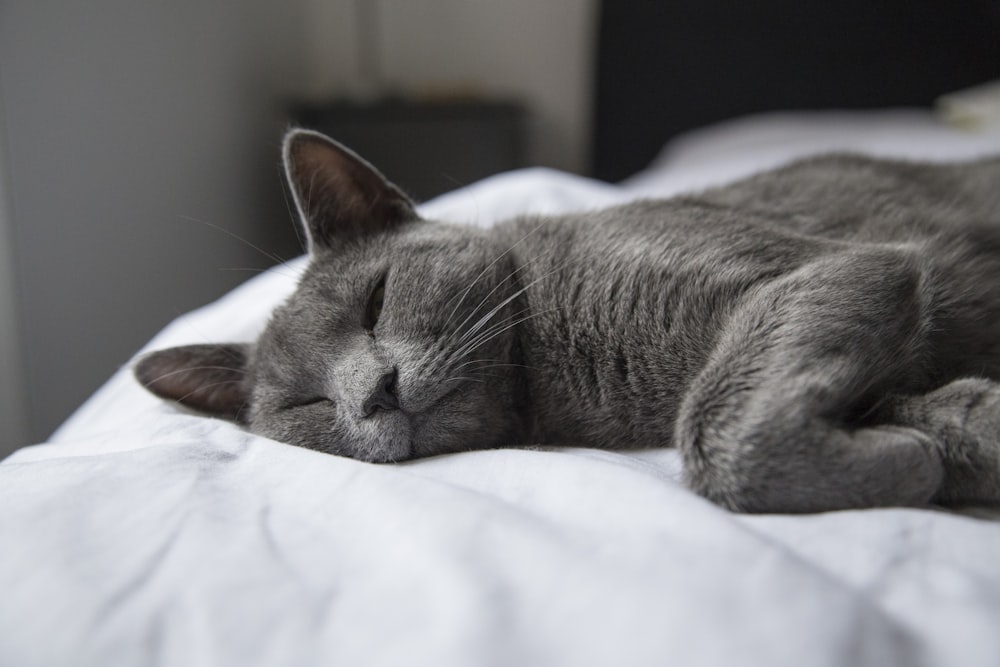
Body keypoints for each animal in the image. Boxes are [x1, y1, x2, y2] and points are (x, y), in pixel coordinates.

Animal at [135, 132, 1000, 516]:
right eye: (306, 405)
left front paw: (913, 461)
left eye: (376, 301)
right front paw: (926, 451)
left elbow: (716, 425)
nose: (373, 391)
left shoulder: (831, 269)